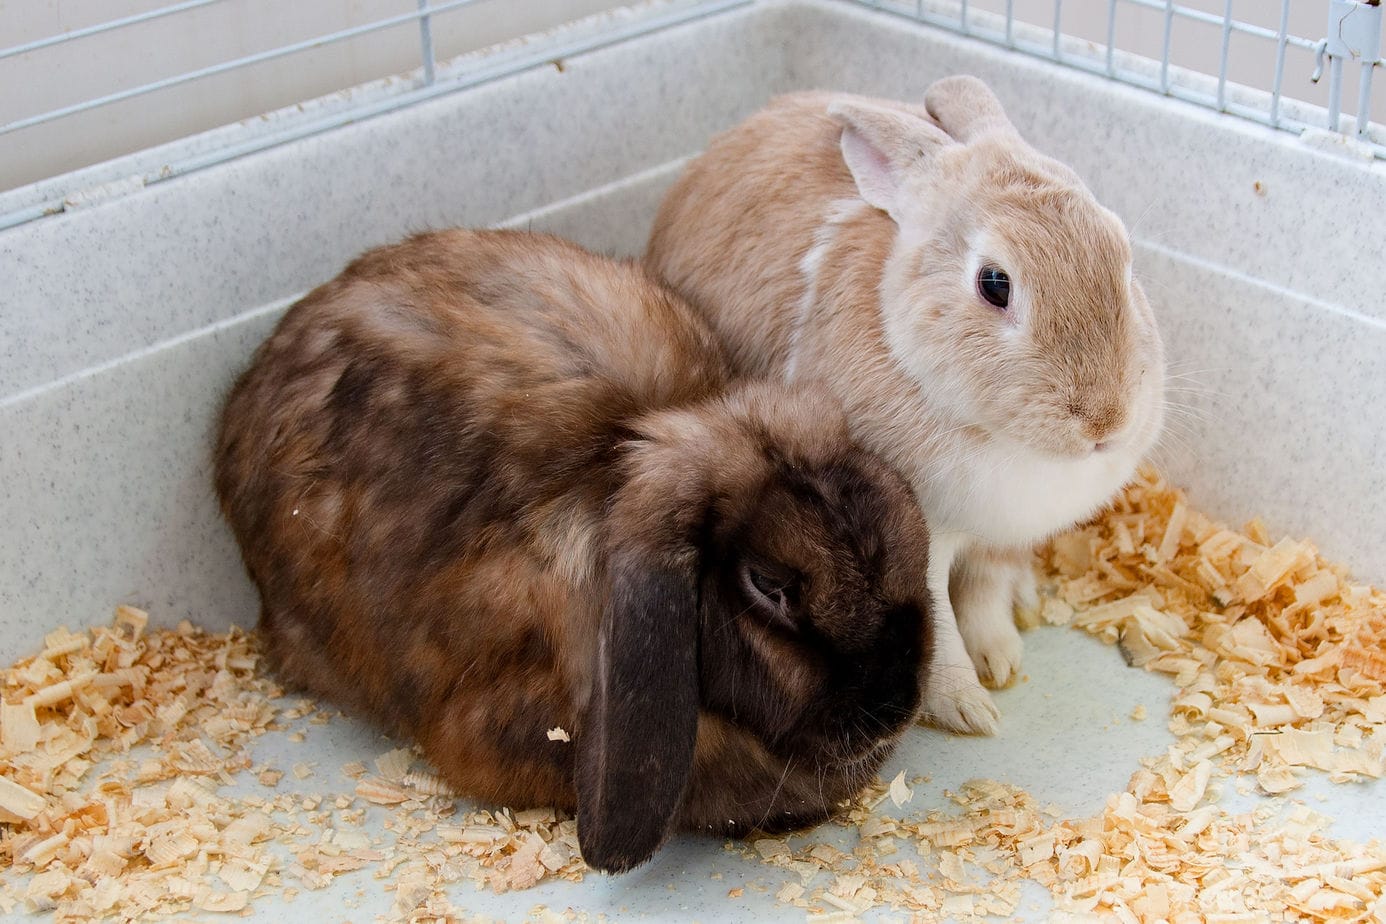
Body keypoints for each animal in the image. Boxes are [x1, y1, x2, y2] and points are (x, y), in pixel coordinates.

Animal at [645, 75, 1166, 736]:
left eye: (1123, 258)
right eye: (994, 284)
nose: (1107, 422)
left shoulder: (999, 539)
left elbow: (985, 594)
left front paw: (1001, 658)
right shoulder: (922, 547)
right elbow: (940, 628)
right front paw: (970, 708)